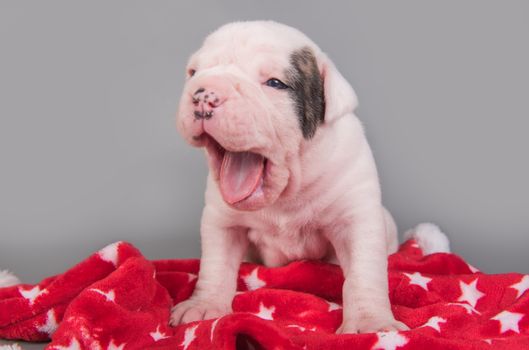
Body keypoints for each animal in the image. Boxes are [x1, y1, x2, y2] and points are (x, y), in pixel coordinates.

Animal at [171, 20, 406, 332]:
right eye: (193, 73)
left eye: (275, 83)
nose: (203, 94)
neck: (287, 193)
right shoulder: (222, 221)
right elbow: (216, 264)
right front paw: (203, 305)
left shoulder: (355, 218)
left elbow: (363, 272)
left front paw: (372, 323)